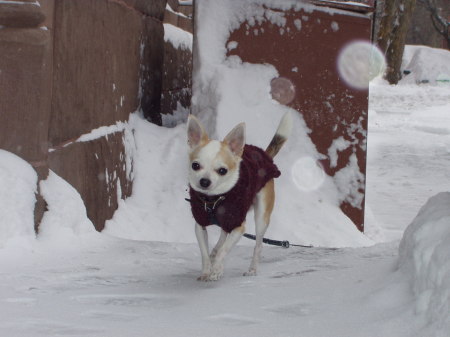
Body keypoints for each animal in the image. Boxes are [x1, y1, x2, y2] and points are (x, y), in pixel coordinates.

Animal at [186, 111, 292, 280]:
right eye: (195, 165)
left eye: (222, 170)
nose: (204, 181)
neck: (213, 200)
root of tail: (265, 155)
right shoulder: (200, 225)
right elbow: (204, 252)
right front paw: (206, 270)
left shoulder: (239, 227)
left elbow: (225, 250)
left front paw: (217, 270)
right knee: (223, 234)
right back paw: (214, 251)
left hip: (261, 217)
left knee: (258, 244)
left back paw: (252, 269)